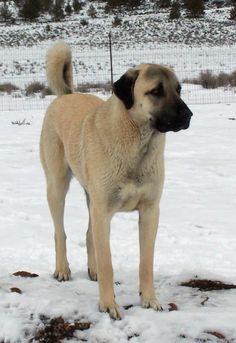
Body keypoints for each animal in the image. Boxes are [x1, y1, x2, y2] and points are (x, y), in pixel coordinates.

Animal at [39, 41, 193, 320]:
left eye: (178, 89)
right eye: (156, 91)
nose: (188, 115)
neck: (138, 145)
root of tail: (67, 95)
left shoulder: (149, 211)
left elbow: (146, 262)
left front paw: (150, 300)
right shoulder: (103, 211)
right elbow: (108, 262)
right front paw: (109, 305)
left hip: (91, 197)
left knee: (89, 234)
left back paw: (92, 271)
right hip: (57, 187)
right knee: (60, 232)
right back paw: (63, 270)